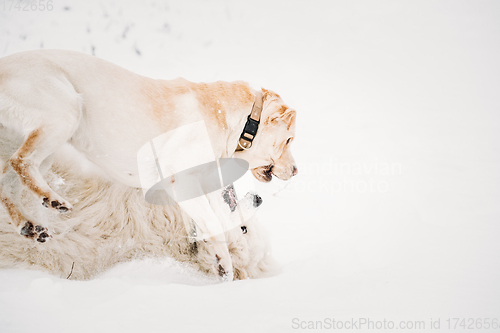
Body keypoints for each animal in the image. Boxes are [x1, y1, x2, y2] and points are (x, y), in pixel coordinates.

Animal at [0, 48, 296, 278]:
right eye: (290, 140)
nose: (296, 171)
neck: (243, 123)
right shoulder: (182, 181)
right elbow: (214, 225)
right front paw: (223, 262)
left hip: (49, 146)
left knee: (8, 179)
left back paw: (28, 224)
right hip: (66, 114)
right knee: (20, 161)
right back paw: (51, 199)